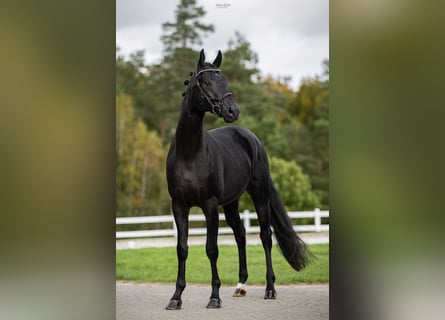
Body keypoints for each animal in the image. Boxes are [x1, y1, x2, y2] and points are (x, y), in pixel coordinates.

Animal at [164, 49, 308, 310]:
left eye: (225, 80)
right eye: (206, 82)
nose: (233, 111)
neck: (189, 154)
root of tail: (250, 137)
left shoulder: (210, 205)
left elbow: (212, 249)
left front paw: (214, 297)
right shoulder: (179, 205)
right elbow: (182, 249)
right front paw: (176, 297)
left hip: (260, 195)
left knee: (265, 236)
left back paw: (269, 288)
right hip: (231, 203)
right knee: (240, 234)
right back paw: (240, 285)